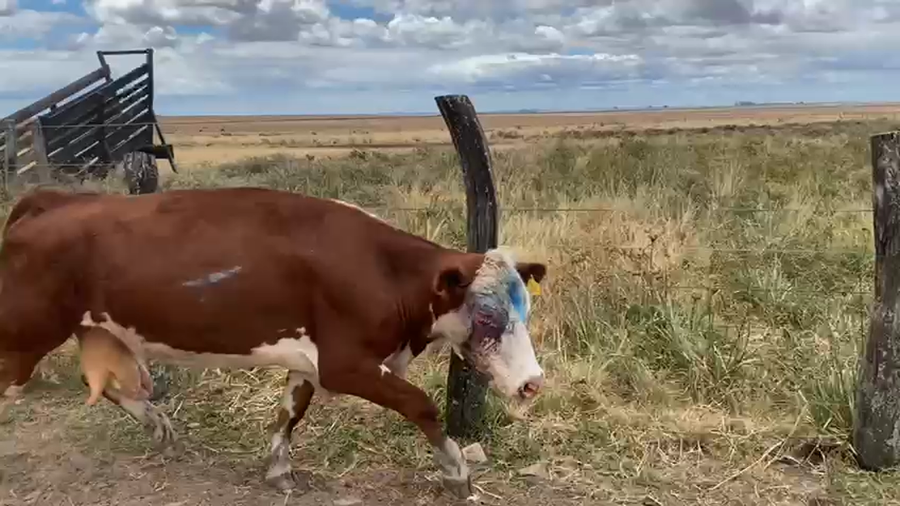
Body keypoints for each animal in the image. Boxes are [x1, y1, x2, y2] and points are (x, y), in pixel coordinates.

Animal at [0, 186, 548, 499]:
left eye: (525, 307)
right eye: (486, 313)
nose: (532, 383)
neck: (382, 269)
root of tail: (57, 200)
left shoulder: (309, 360)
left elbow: (289, 413)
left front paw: (279, 470)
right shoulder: (346, 364)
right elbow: (422, 405)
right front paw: (455, 471)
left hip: (95, 331)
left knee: (113, 385)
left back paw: (157, 423)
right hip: (24, 333)